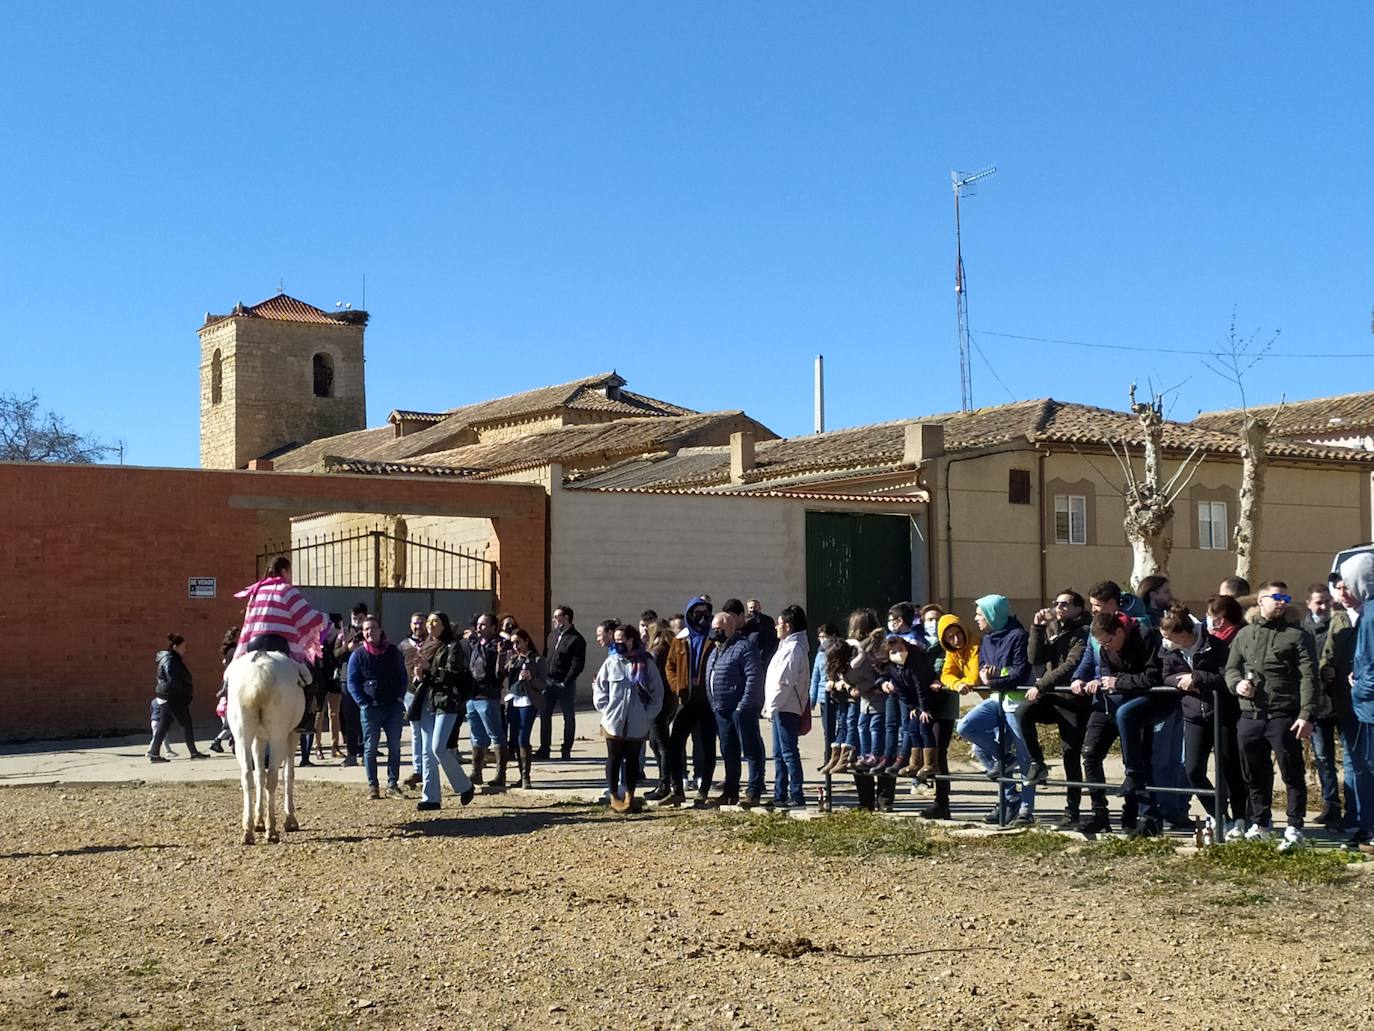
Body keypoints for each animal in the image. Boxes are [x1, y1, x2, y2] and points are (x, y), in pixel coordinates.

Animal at [225, 654, 309, 846]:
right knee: (272, 777)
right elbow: (288, 774)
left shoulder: (258, 739)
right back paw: (272, 830)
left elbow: (258, 776)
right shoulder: (292, 735)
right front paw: (290, 819)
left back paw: (248, 830)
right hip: (278, 737)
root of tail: (258, 674)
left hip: (242, 737)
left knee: (247, 776)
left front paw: (258, 821)